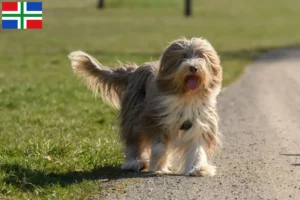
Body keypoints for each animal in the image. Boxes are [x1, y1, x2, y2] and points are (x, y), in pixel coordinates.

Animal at [68, 37, 223, 177]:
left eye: (201, 56)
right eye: (183, 56)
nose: (193, 67)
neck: (186, 97)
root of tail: (134, 70)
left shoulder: (200, 122)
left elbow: (197, 147)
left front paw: (198, 168)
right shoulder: (156, 119)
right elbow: (159, 147)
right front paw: (158, 167)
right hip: (134, 115)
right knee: (134, 140)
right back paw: (134, 162)